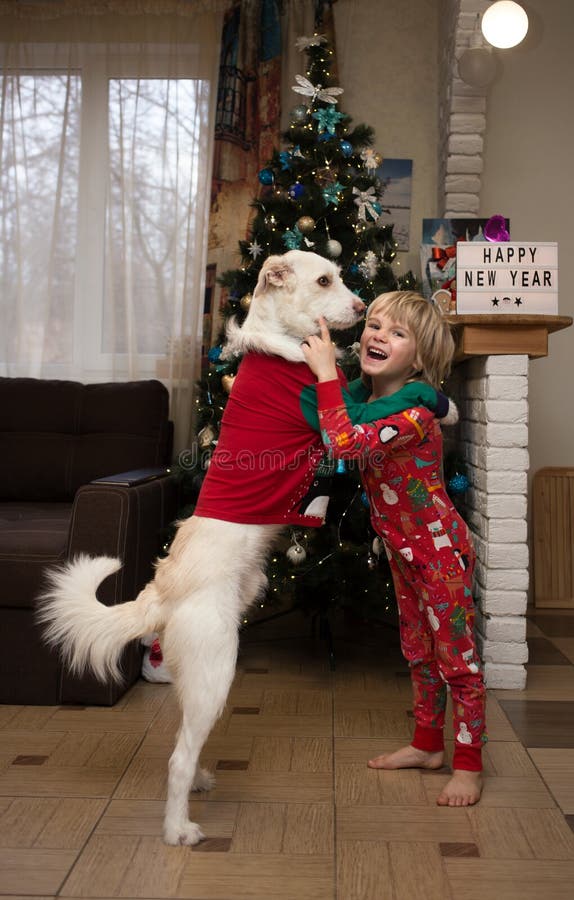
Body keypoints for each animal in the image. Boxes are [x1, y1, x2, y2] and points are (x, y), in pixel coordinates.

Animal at [38, 250, 366, 848]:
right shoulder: (336, 415)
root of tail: (158, 594)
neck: (277, 344)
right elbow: (360, 399)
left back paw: (198, 786)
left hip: (199, 680)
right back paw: (179, 829)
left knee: (185, 746)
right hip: (217, 670)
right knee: (177, 758)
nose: (359, 307)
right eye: (325, 279)